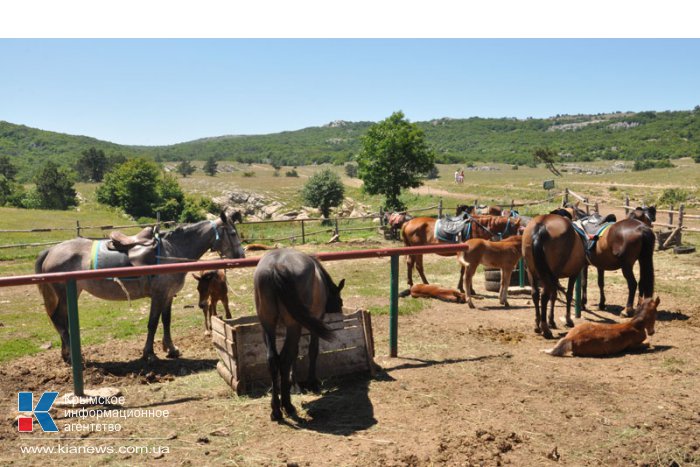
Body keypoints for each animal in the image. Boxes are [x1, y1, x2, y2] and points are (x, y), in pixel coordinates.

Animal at [35, 214, 245, 364]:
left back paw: (66, 354)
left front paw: (171, 349)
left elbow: (166, 321)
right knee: (59, 320)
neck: (172, 250)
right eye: (233, 233)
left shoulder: (168, 296)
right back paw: (71, 356)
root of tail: (51, 250)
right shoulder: (159, 295)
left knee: (62, 321)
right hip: (64, 294)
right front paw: (149, 354)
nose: (241, 256)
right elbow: (152, 323)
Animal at [256, 250, 346, 422]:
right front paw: (312, 382)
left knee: (273, 360)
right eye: (340, 301)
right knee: (284, 359)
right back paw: (287, 406)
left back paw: (276, 410)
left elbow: (296, 353)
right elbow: (312, 350)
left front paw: (294, 385)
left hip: (267, 325)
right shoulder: (316, 320)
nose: (340, 313)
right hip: (293, 326)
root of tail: (276, 266)